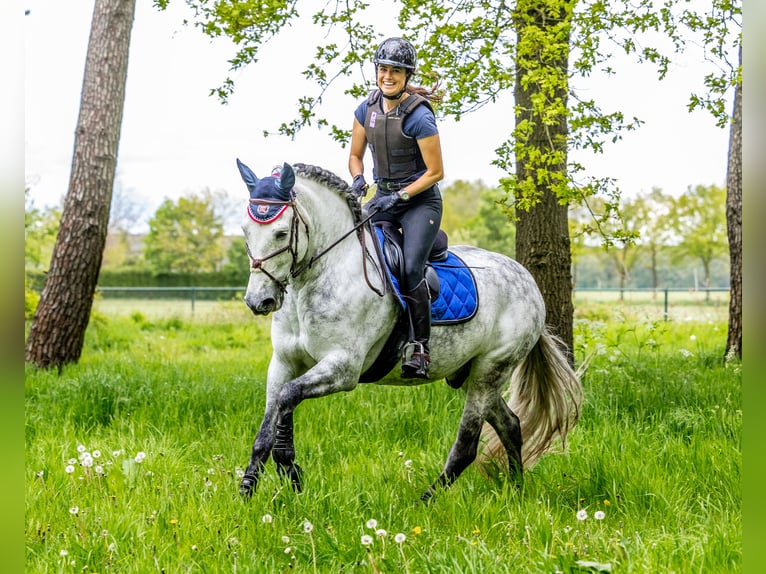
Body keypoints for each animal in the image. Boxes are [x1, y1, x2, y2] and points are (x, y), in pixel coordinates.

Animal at [236, 159, 582, 503]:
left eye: (281, 233)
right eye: (245, 231)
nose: (259, 301)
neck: (326, 271)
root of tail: (528, 281)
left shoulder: (343, 368)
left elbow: (288, 397)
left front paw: (287, 469)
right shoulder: (283, 363)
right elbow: (270, 421)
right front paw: (251, 488)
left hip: (490, 370)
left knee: (466, 446)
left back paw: (425, 501)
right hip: (471, 374)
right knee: (511, 425)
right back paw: (516, 490)